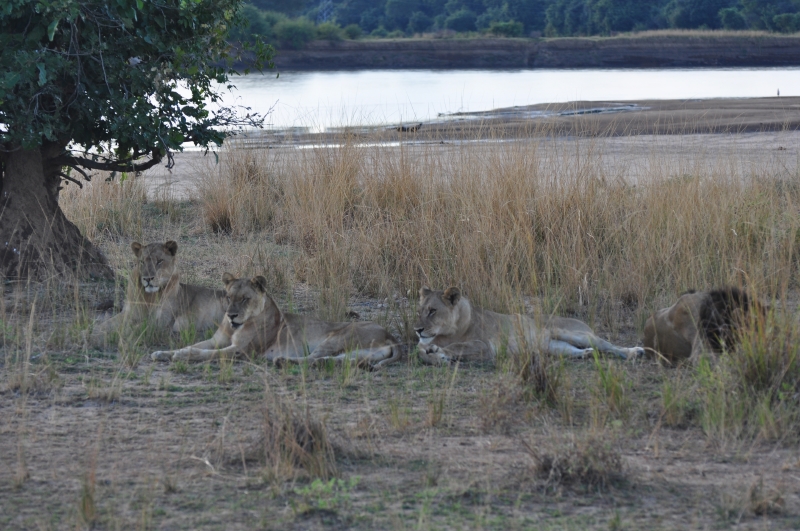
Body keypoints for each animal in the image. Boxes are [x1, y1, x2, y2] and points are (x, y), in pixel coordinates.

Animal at [91, 241, 226, 345]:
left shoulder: (162, 322)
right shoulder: (128, 313)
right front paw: (90, 332)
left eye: (159, 261)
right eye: (142, 262)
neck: (149, 296)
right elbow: (106, 324)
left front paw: (100, 338)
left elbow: (129, 329)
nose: (147, 278)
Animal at [151, 273, 402, 369]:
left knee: (313, 358)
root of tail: (392, 336)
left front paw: (181, 356)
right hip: (354, 354)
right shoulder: (217, 340)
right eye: (229, 298)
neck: (235, 328)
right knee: (330, 361)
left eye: (245, 299)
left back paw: (282, 360)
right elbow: (194, 345)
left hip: (337, 337)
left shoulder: (242, 351)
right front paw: (162, 353)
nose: (231, 315)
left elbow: (204, 353)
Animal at [414, 287, 644, 365]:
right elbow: (420, 352)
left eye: (432, 311)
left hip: (576, 333)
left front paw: (440, 352)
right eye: (420, 310)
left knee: (608, 345)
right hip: (552, 347)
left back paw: (635, 352)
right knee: (576, 351)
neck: (445, 333)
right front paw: (436, 356)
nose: (417, 329)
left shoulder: (486, 347)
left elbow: (458, 346)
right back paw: (587, 354)